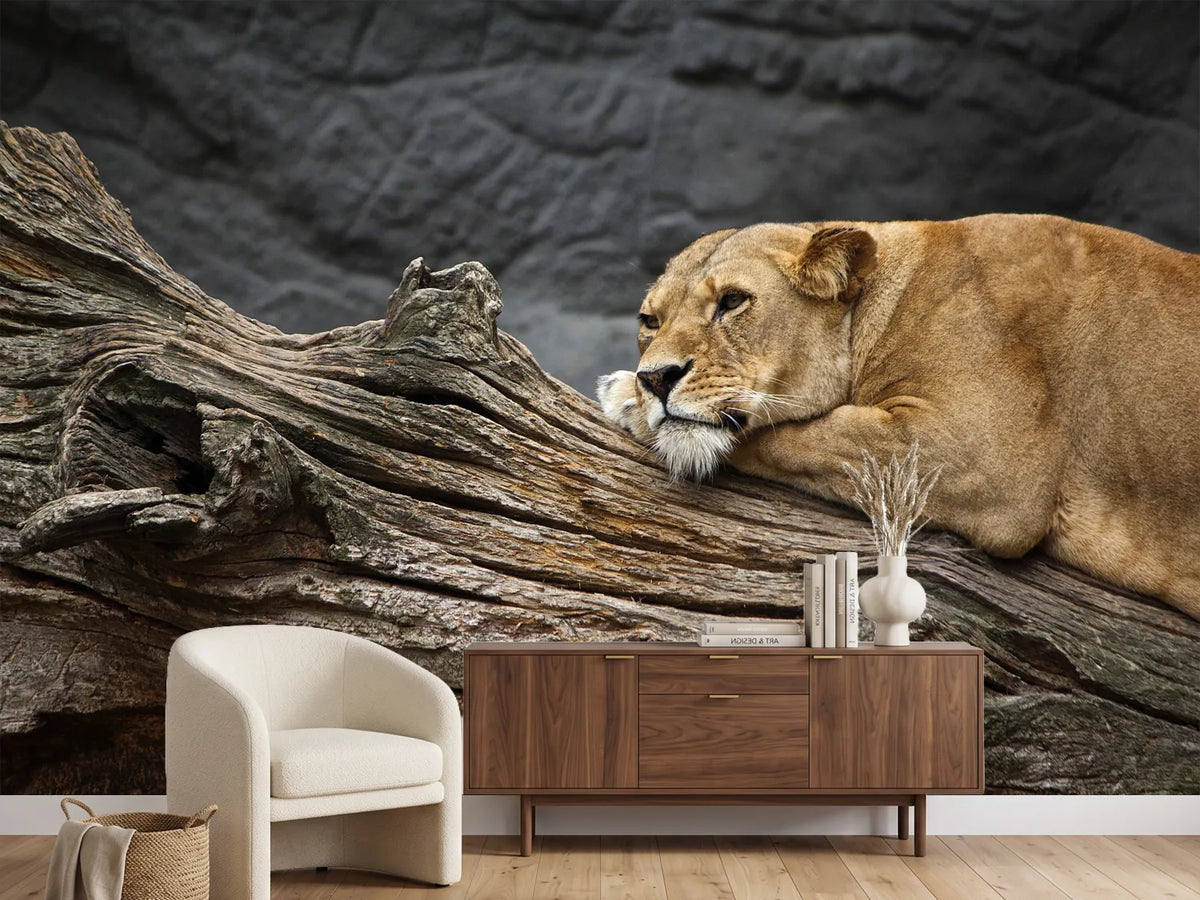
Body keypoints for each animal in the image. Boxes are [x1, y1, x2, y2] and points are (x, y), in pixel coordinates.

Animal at [597, 215, 1200, 620]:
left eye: (732, 302)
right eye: (649, 320)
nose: (655, 378)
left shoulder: (985, 458)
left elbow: (807, 431)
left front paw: (626, 399)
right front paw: (629, 391)